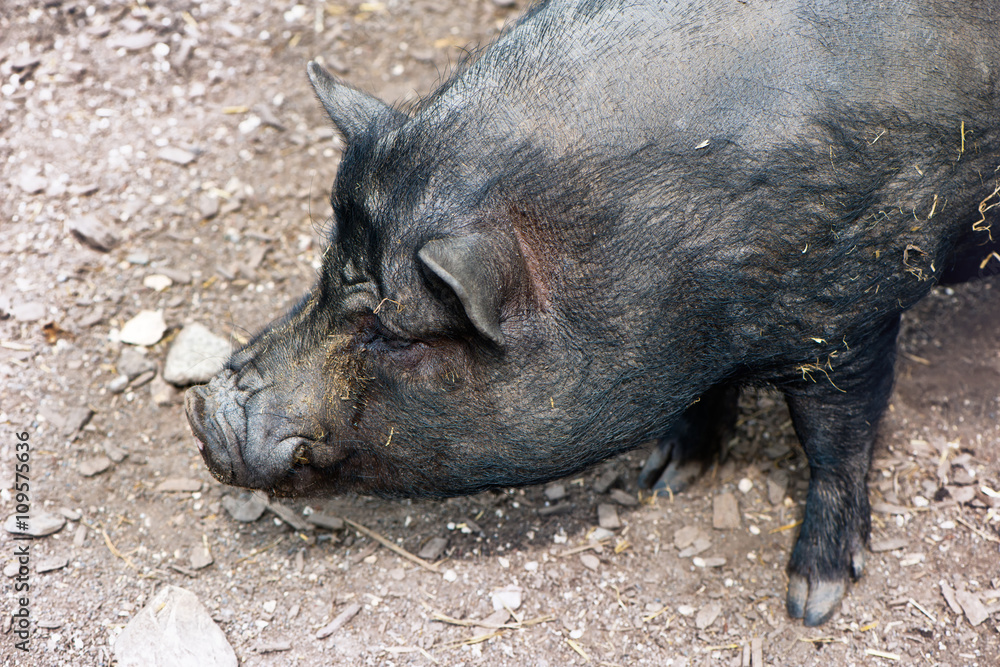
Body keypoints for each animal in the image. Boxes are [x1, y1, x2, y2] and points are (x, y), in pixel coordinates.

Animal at [186, 0, 1000, 626]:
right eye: (325, 274)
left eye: (391, 331)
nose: (202, 410)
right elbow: (707, 403)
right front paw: (661, 480)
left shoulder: (852, 315)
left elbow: (837, 442)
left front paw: (809, 603)